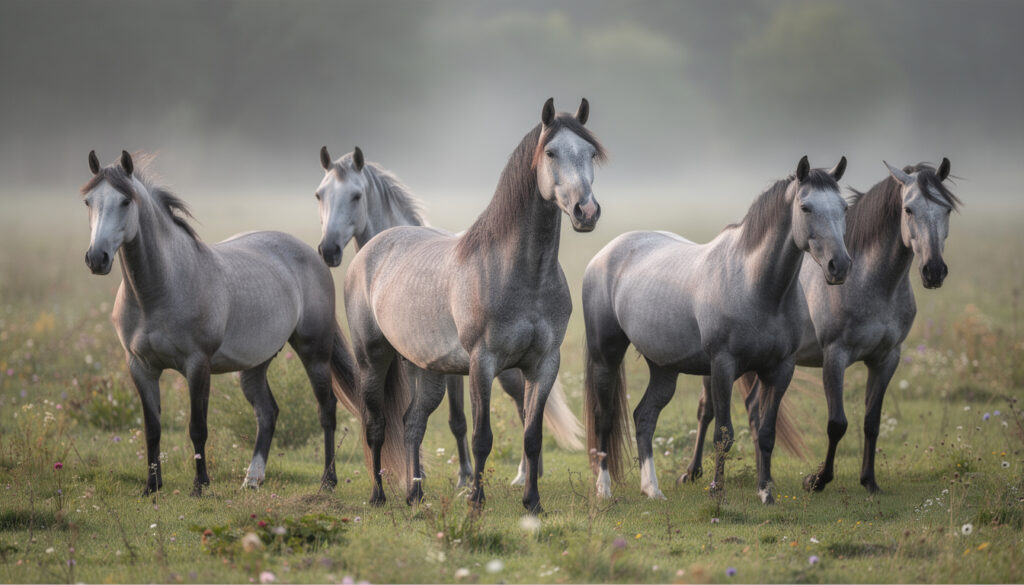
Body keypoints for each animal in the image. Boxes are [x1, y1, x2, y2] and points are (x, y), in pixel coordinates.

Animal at [80, 150, 361, 495]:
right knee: (267, 413)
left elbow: (197, 427)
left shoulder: (197, 365)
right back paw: (252, 479)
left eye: (124, 201)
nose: (97, 258)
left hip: (315, 353)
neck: (158, 290)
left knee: (327, 411)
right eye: (89, 201)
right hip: (254, 366)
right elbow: (152, 429)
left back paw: (327, 481)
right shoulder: (140, 367)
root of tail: (315, 253)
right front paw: (151, 486)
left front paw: (200, 486)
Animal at [312, 146, 583, 488]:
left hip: (508, 369)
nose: (328, 249)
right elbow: (412, 416)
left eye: (356, 196)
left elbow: (458, 420)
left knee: (524, 405)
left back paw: (525, 473)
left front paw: (464, 476)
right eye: (319, 195)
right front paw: (417, 474)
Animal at [344, 98, 605, 512]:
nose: (587, 212)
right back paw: (379, 495)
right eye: (550, 152)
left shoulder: (544, 364)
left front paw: (532, 501)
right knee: (377, 425)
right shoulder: (483, 363)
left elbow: (532, 435)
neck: (523, 275)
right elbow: (483, 437)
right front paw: (476, 500)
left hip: (426, 370)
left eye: (590, 153)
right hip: (372, 359)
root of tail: (370, 250)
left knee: (412, 424)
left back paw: (415, 494)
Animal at [583, 156, 851, 504]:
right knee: (604, 418)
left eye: (844, 207)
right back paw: (604, 489)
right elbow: (724, 433)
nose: (839, 266)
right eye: (805, 207)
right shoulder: (723, 365)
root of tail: (604, 254)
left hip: (663, 369)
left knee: (644, 417)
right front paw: (716, 490)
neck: (757, 286)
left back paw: (652, 489)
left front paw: (765, 492)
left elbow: (766, 433)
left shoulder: (780, 370)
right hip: (606, 355)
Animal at [716, 159, 960, 494]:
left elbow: (872, 422)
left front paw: (869, 481)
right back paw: (694, 473)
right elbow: (837, 424)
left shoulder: (887, 358)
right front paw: (817, 480)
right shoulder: (835, 356)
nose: (934, 271)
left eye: (946, 209)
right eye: (908, 209)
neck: (873, 284)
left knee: (753, 408)